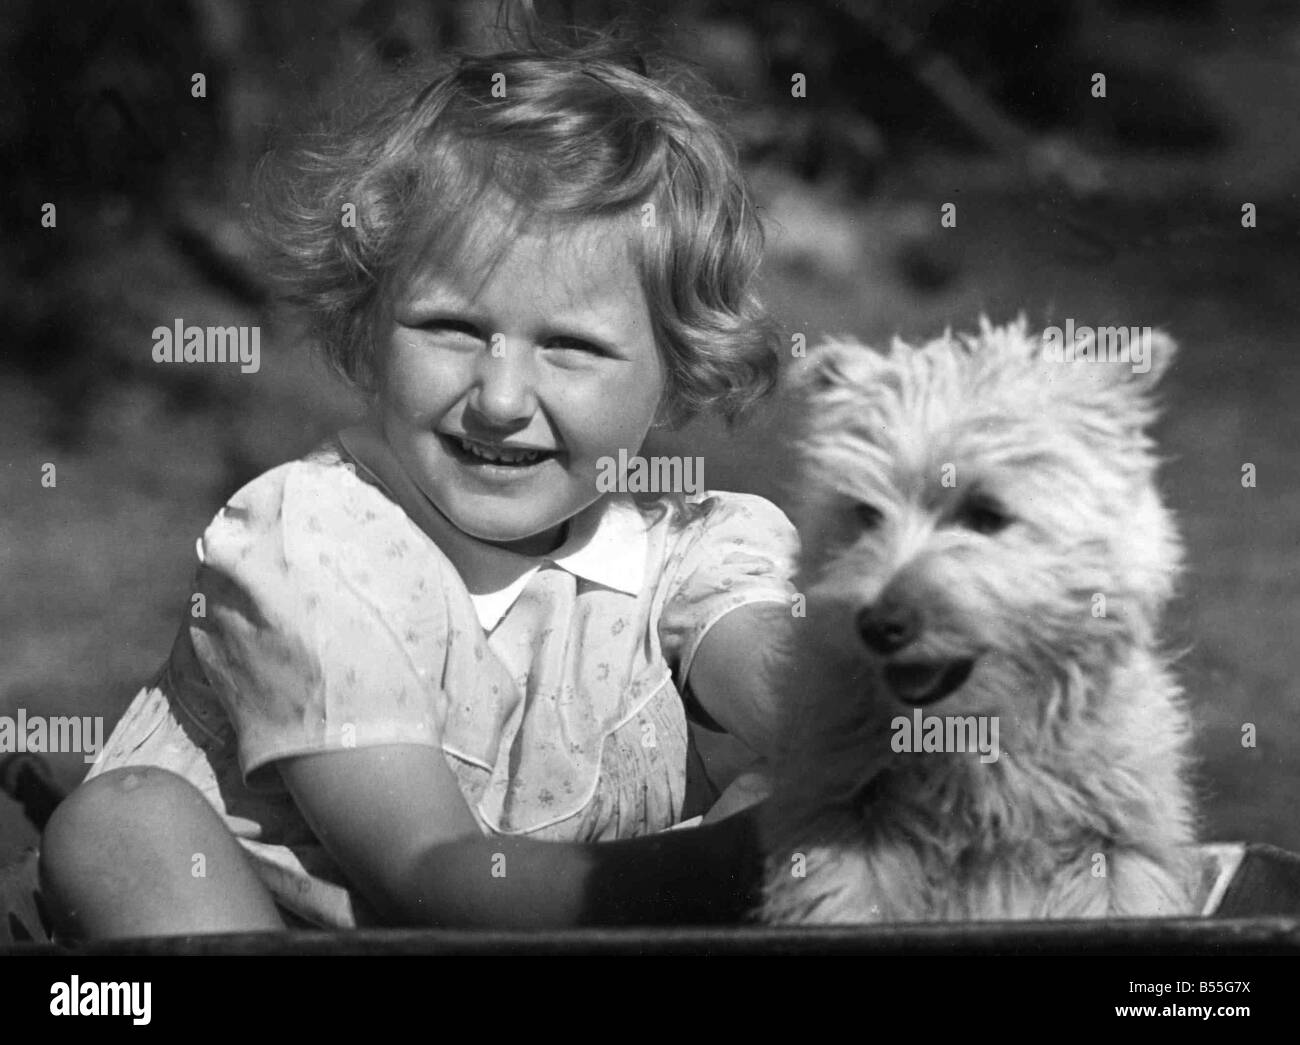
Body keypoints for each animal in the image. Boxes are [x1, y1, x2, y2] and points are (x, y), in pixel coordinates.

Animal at [759, 318, 1196, 920]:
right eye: (866, 513)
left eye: (987, 515)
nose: (878, 625)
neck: (972, 736)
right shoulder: (840, 821)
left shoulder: (1117, 843)